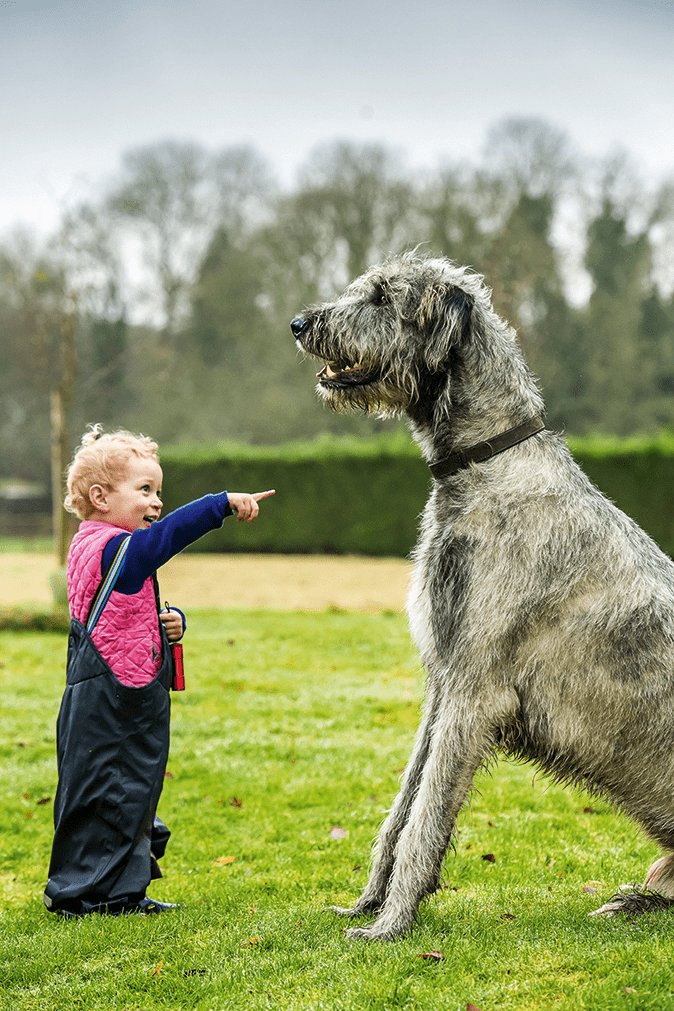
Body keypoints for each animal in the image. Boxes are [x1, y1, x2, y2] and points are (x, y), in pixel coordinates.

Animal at [291, 250, 674, 938]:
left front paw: (389, 925)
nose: (300, 323)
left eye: (384, 297)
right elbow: (402, 807)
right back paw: (633, 900)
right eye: (364, 286)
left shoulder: (475, 688)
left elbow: (424, 818)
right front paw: (368, 904)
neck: (486, 463)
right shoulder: (442, 683)